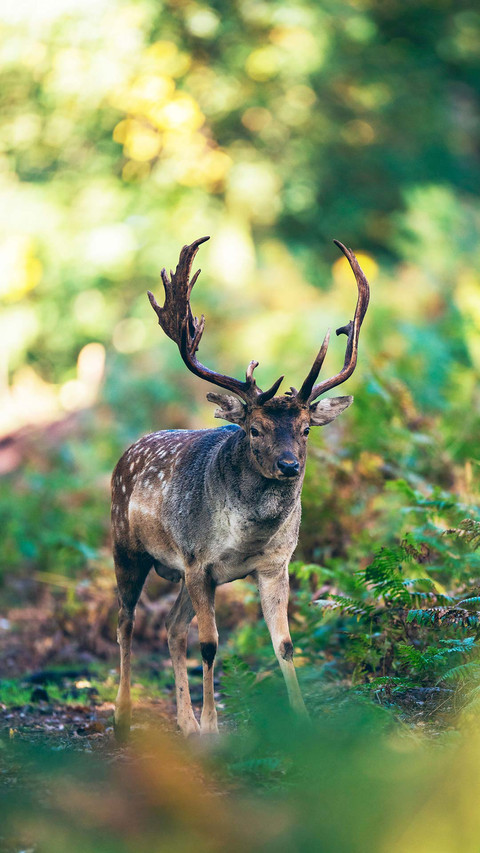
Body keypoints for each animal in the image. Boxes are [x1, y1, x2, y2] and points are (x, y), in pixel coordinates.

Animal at [111, 236, 370, 739]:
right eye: (254, 429)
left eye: (306, 429)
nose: (289, 465)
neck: (247, 538)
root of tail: (125, 454)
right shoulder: (198, 561)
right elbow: (211, 646)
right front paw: (215, 729)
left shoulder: (273, 565)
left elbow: (285, 644)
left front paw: (301, 722)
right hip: (125, 546)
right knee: (126, 621)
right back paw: (123, 715)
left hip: (179, 575)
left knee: (171, 626)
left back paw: (185, 723)